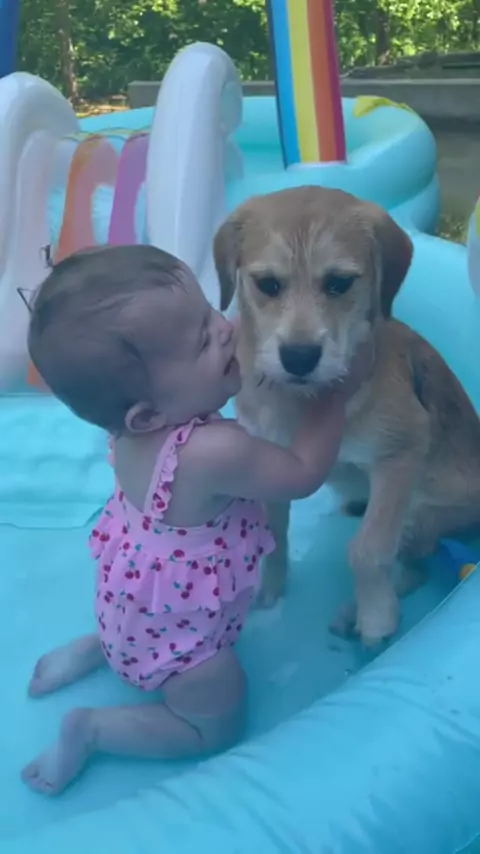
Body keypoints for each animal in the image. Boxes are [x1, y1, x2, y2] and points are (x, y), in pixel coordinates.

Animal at [214, 186, 480, 647]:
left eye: (339, 283)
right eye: (268, 285)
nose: (299, 357)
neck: (306, 399)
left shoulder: (401, 454)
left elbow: (367, 549)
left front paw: (375, 615)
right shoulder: (273, 465)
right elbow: (276, 537)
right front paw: (270, 591)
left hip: (424, 514)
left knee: (415, 566)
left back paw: (358, 610)